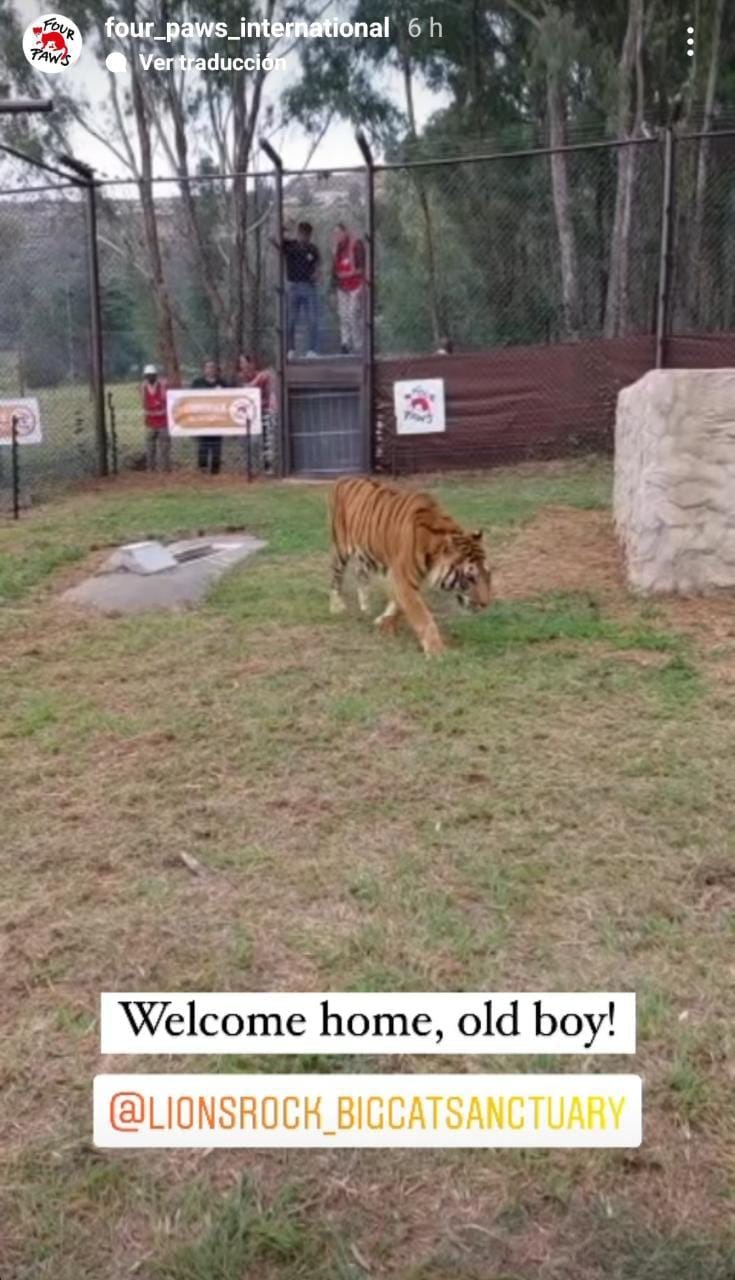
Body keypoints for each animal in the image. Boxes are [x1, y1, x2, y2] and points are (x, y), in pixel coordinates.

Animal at [330, 476, 496, 655]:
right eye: (470, 577)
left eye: (488, 574)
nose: (486, 604)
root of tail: (344, 478)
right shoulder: (404, 579)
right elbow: (422, 617)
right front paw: (437, 651)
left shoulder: (406, 578)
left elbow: (398, 603)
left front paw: (385, 621)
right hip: (340, 547)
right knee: (336, 576)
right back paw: (336, 607)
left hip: (367, 553)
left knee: (360, 573)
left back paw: (365, 606)